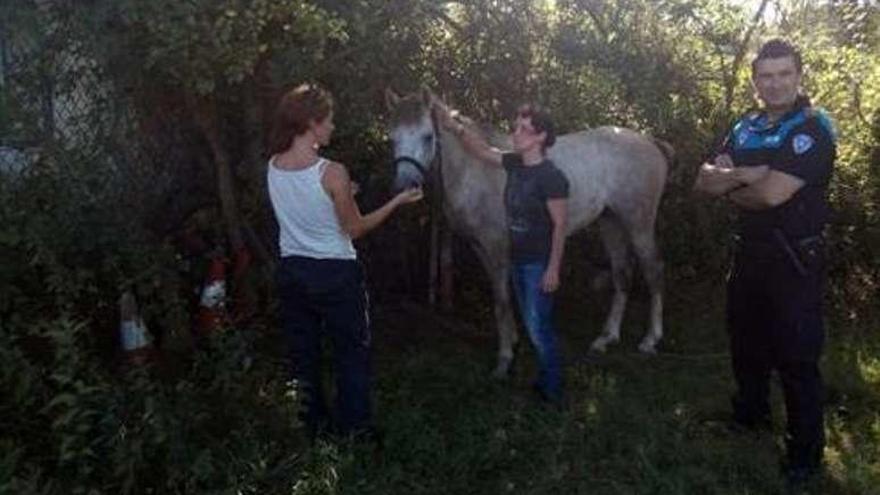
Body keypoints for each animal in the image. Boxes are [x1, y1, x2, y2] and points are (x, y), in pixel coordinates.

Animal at [388, 89, 672, 378]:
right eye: (393, 138)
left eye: (427, 136)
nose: (406, 185)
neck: (476, 170)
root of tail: (650, 142)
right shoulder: (481, 248)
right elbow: (501, 294)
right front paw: (513, 341)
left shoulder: (497, 247)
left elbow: (501, 300)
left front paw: (504, 359)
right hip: (611, 223)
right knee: (622, 274)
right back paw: (606, 338)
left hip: (638, 224)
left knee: (654, 271)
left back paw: (650, 340)